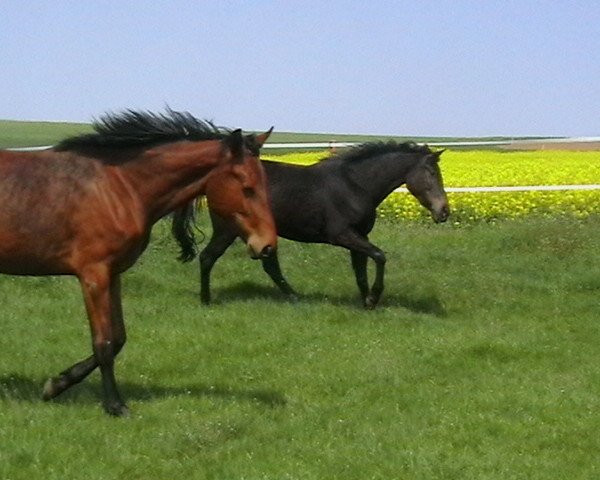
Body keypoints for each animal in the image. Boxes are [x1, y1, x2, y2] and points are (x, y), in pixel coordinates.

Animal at [0, 109, 276, 416]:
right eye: (247, 187)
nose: (266, 245)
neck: (118, 188)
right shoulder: (94, 274)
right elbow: (104, 342)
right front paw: (115, 405)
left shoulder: (113, 273)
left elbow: (119, 338)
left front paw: (56, 385)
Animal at [171, 141, 448, 310]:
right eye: (431, 173)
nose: (443, 211)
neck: (354, 185)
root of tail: (212, 180)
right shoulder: (342, 235)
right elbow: (380, 256)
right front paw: (373, 298)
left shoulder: (359, 237)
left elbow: (361, 272)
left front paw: (366, 302)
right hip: (227, 231)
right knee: (208, 258)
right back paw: (206, 301)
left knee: (269, 266)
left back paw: (295, 298)